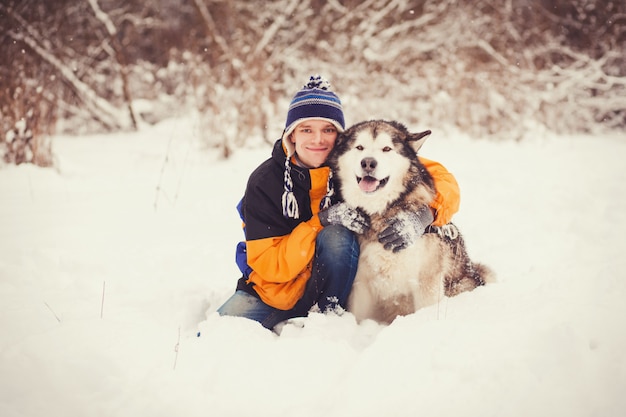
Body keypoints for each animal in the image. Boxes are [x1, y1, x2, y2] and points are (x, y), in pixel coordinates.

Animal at [326, 118, 492, 324]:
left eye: (386, 149)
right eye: (359, 147)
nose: (368, 163)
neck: (380, 211)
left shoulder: (426, 281)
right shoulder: (360, 284)